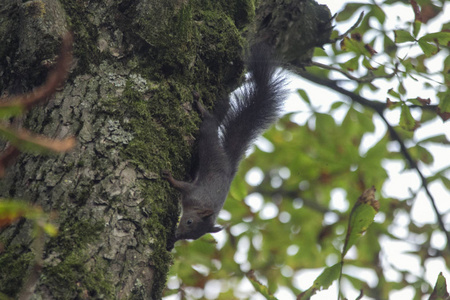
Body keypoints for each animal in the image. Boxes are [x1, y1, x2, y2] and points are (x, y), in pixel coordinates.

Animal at [163, 45, 286, 248]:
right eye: (188, 221)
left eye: (194, 236)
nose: (177, 236)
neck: (201, 205)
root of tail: (227, 161)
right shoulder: (193, 192)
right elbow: (181, 185)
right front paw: (170, 178)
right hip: (208, 134)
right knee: (209, 122)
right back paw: (200, 106)